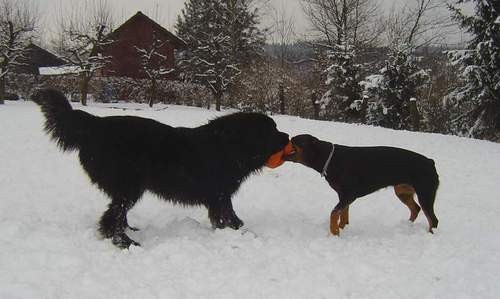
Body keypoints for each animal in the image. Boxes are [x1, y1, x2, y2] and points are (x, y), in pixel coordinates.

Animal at [33, 89, 290, 248]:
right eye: (271, 130)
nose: (287, 136)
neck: (231, 147)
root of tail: (94, 125)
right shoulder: (219, 194)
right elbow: (229, 216)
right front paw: (242, 233)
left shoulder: (219, 195)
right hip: (129, 184)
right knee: (111, 218)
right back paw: (125, 243)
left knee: (117, 214)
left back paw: (131, 231)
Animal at [284, 135, 440, 237]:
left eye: (294, 141)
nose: (284, 138)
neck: (330, 158)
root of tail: (430, 162)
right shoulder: (343, 195)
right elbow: (344, 213)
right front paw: (343, 228)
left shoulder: (350, 194)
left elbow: (334, 212)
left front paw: (334, 232)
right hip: (402, 190)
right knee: (416, 208)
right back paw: (406, 226)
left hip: (425, 192)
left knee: (432, 219)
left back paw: (430, 235)